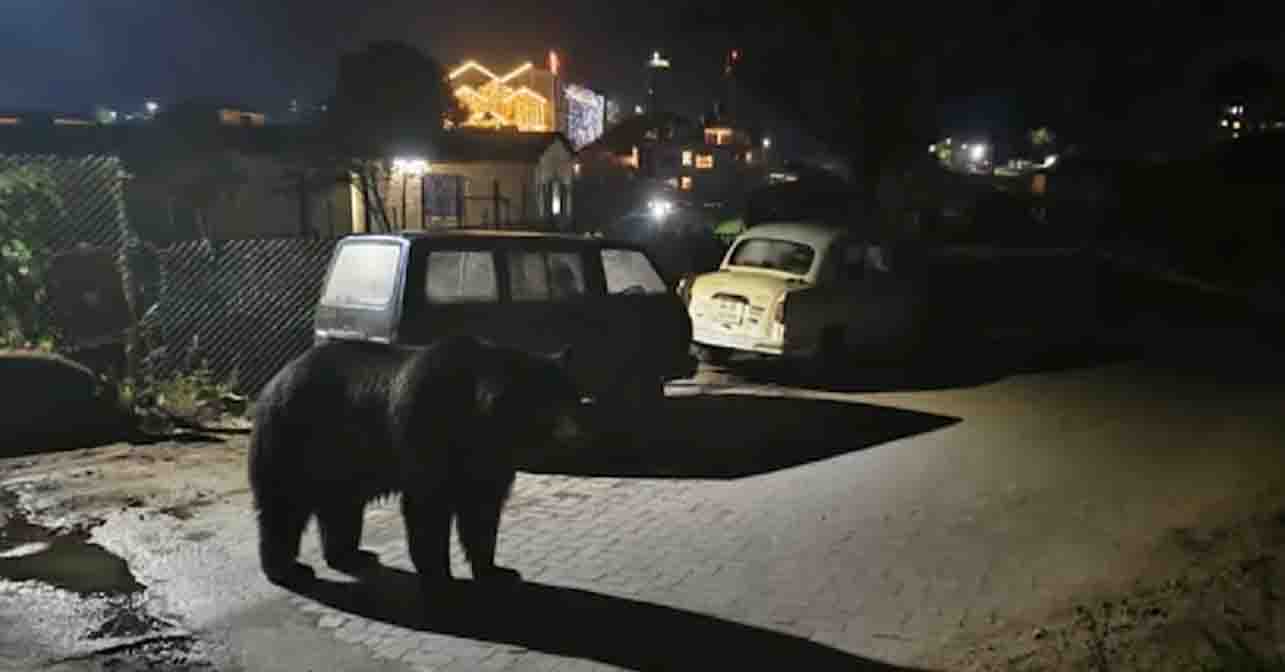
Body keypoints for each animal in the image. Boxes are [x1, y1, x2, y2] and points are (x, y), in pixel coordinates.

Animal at [248, 335, 581, 592]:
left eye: (572, 396)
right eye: (548, 402)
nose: (576, 433)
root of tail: (274, 381)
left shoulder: (489, 461)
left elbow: (482, 511)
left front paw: (497, 572)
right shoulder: (426, 430)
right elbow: (428, 507)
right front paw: (440, 576)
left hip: (339, 458)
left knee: (340, 506)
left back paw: (352, 555)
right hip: (294, 438)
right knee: (284, 507)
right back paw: (288, 569)